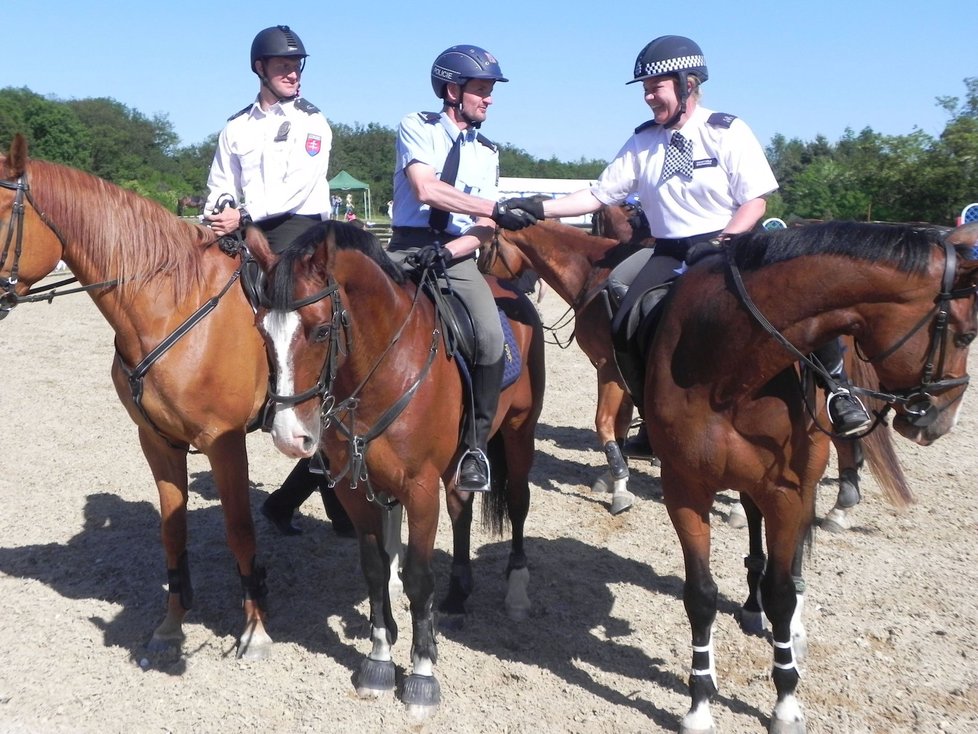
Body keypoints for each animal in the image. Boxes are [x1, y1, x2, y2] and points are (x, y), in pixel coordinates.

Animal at [1, 134, 274, 660]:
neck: (173, 305)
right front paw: (172, 622)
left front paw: (255, 630)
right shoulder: (157, 441)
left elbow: (240, 530)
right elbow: (172, 529)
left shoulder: (226, 441)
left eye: (2, 209)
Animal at [248, 221, 544, 720]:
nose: (290, 437)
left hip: (520, 431)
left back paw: (519, 591)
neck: (381, 368)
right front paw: (379, 660)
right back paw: (457, 596)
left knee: (519, 503)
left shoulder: (419, 489)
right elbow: (374, 568)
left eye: (321, 330)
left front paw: (422, 674)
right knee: (461, 508)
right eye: (261, 332)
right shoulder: (354, 488)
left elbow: (419, 579)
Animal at [640, 221, 976, 732]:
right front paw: (699, 702)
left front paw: (785, 700)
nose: (942, 420)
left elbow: (782, 590)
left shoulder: (788, 490)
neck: (725, 367)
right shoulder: (684, 489)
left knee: (790, 564)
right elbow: (699, 595)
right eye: (965, 336)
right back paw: (752, 607)